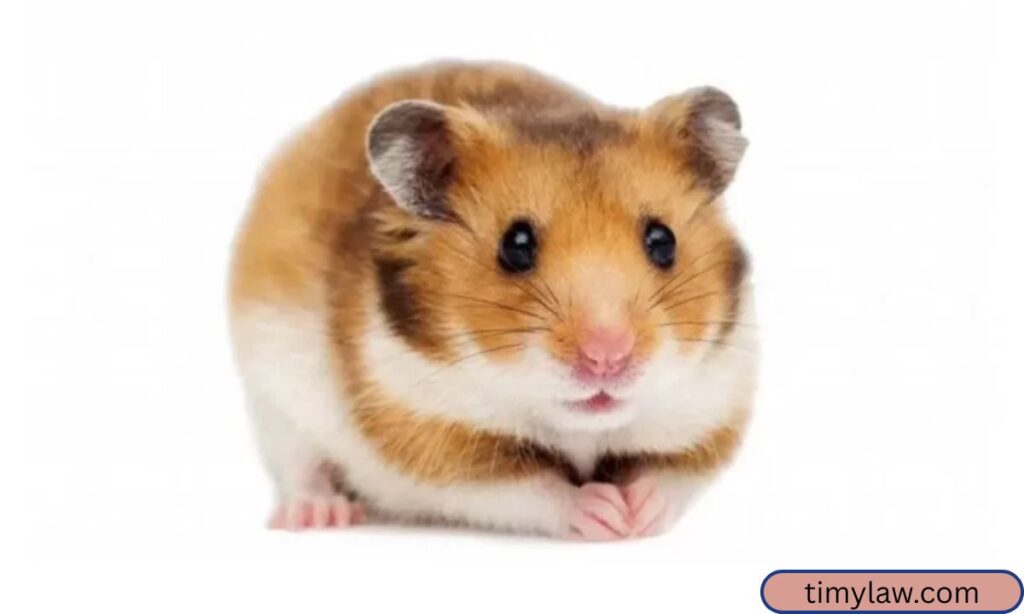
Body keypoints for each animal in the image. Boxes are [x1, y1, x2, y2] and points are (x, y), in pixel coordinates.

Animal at [229, 61, 757, 539]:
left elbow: (672, 476)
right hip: (273, 400)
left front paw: (637, 514)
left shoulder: (713, 411)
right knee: (300, 467)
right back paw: (320, 514)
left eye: (662, 241)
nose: (607, 357)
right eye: (516, 245)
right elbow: (531, 489)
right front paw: (604, 512)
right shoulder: (431, 440)